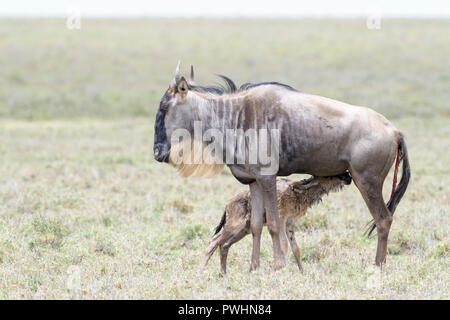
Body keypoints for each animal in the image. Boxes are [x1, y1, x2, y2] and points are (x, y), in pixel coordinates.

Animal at [200, 174, 352, 274]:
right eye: (330, 175)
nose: (348, 177)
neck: (298, 193)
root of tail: (228, 204)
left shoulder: (290, 224)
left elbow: (296, 249)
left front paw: (302, 272)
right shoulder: (281, 221)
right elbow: (284, 246)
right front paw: (284, 270)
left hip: (243, 231)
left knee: (224, 245)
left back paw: (224, 274)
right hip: (234, 226)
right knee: (213, 242)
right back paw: (200, 273)